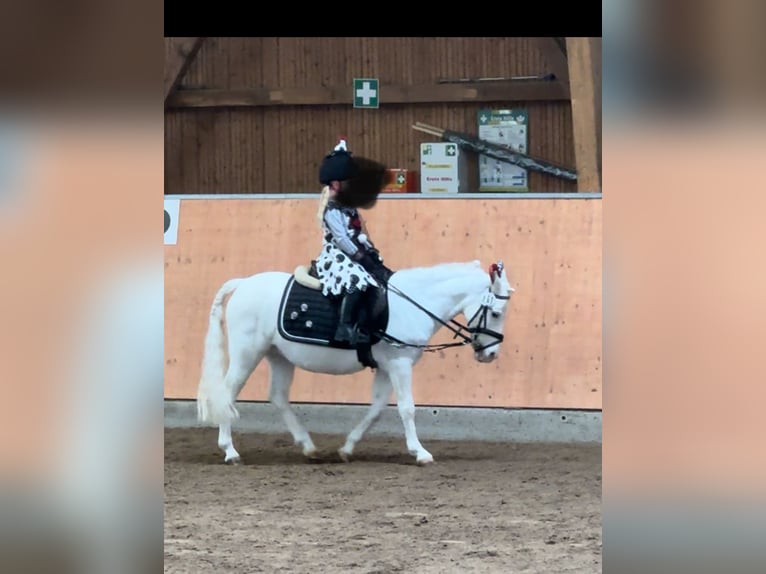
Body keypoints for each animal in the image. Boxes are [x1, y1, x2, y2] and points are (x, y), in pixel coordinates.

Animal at [196, 258, 516, 466]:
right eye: (496, 312)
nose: (490, 354)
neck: (412, 304)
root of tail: (243, 284)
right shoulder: (400, 364)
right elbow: (407, 409)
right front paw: (421, 453)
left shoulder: (387, 368)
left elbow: (376, 410)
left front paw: (347, 448)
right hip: (247, 352)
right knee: (227, 394)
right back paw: (230, 451)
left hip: (279, 356)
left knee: (277, 396)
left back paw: (309, 447)